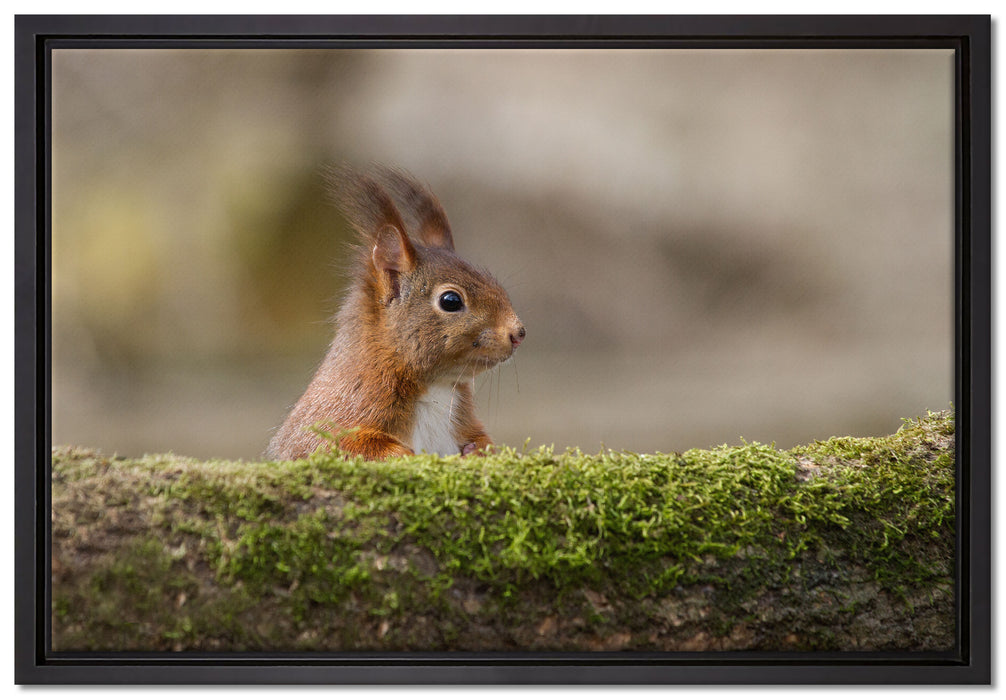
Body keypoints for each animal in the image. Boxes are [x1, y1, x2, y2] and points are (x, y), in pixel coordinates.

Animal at [267, 165, 526, 461]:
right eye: (450, 300)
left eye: (492, 281)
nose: (518, 333)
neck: (437, 387)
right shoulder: (339, 414)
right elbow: (340, 445)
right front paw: (405, 454)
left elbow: (482, 440)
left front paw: (479, 450)